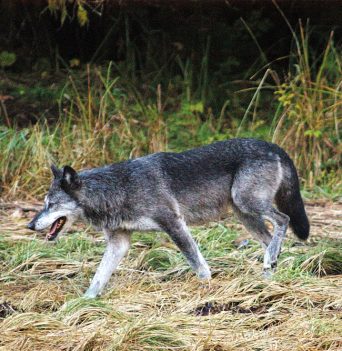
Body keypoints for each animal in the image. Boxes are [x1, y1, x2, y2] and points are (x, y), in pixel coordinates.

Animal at [27, 139, 310, 298]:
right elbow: (98, 278)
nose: (29, 225)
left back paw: (269, 266)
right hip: (246, 215)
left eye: (50, 205)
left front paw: (207, 290)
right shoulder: (119, 243)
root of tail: (274, 146)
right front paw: (82, 304)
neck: (117, 188)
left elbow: (198, 265)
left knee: (283, 220)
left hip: (248, 204)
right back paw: (268, 274)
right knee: (269, 240)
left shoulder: (174, 223)